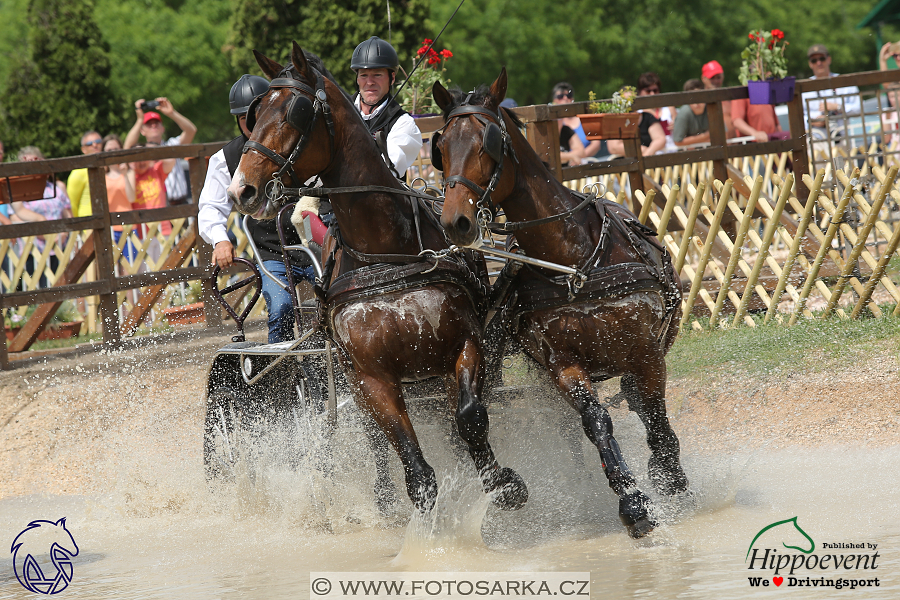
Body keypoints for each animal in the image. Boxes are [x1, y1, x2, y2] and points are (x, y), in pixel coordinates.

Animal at [224, 44, 528, 512]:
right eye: (255, 115)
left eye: (294, 113)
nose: (242, 190)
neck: (384, 255)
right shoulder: (371, 377)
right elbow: (414, 469)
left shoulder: (465, 342)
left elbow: (470, 416)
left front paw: (501, 482)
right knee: (373, 439)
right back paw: (383, 497)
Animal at [432, 70, 684, 540]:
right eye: (440, 148)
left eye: (487, 143)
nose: (455, 222)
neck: (572, 262)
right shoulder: (561, 365)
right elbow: (596, 422)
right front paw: (632, 502)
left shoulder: (645, 352)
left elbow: (657, 422)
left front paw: (670, 479)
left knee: (646, 408)